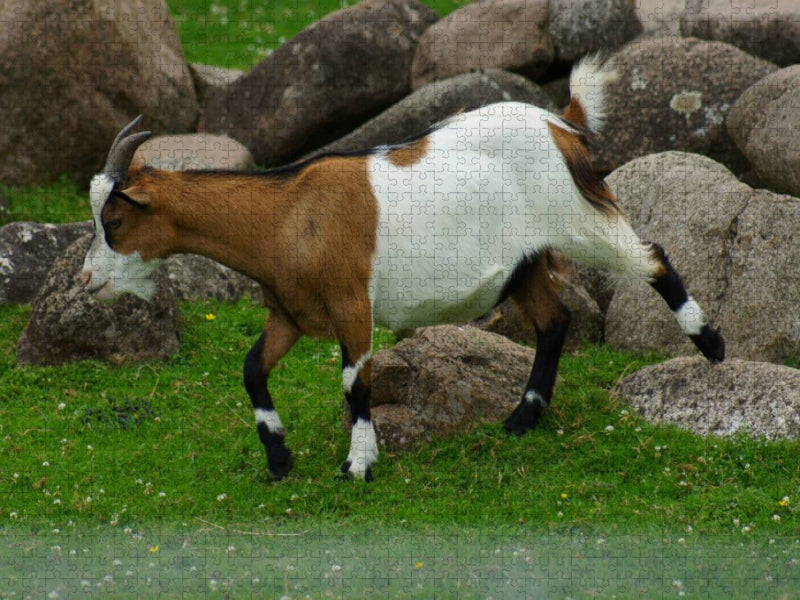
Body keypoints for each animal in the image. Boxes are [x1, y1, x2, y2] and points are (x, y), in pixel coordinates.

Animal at [81, 56, 725, 482]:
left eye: (113, 219)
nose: (86, 281)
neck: (288, 214)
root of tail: (561, 123)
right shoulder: (290, 314)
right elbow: (250, 371)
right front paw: (279, 458)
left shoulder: (352, 304)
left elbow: (354, 382)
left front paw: (358, 465)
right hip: (523, 264)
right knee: (554, 322)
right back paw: (521, 420)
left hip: (579, 221)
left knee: (652, 259)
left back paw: (711, 345)